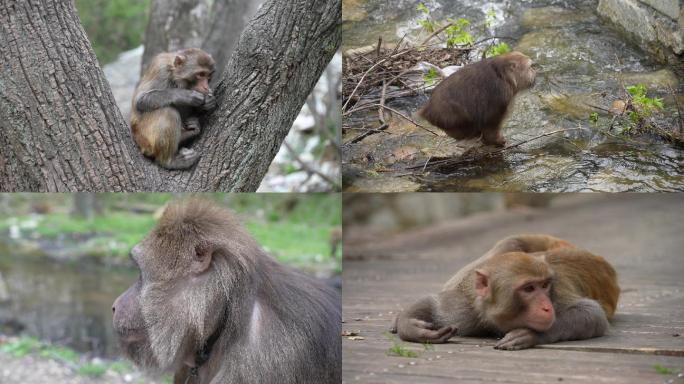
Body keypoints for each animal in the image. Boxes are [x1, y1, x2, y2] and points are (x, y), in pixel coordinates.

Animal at [390, 234, 620, 352]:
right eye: (529, 288)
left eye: (545, 285)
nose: (546, 307)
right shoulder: (465, 311)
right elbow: (435, 303)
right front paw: (412, 327)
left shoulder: (557, 294)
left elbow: (592, 314)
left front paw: (528, 334)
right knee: (509, 243)